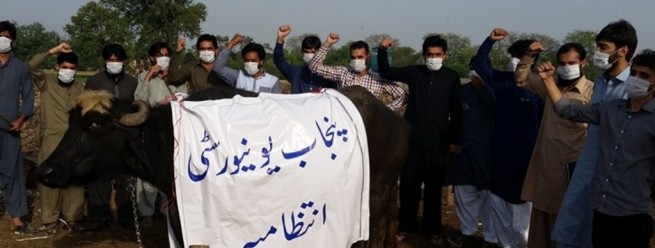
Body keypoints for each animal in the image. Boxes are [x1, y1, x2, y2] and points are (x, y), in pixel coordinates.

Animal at [36, 85, 410, 248]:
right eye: (71, 123)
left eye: (96, 125)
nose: (46, 171)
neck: (169, 139)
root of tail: (393, 118)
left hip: (376, 197)